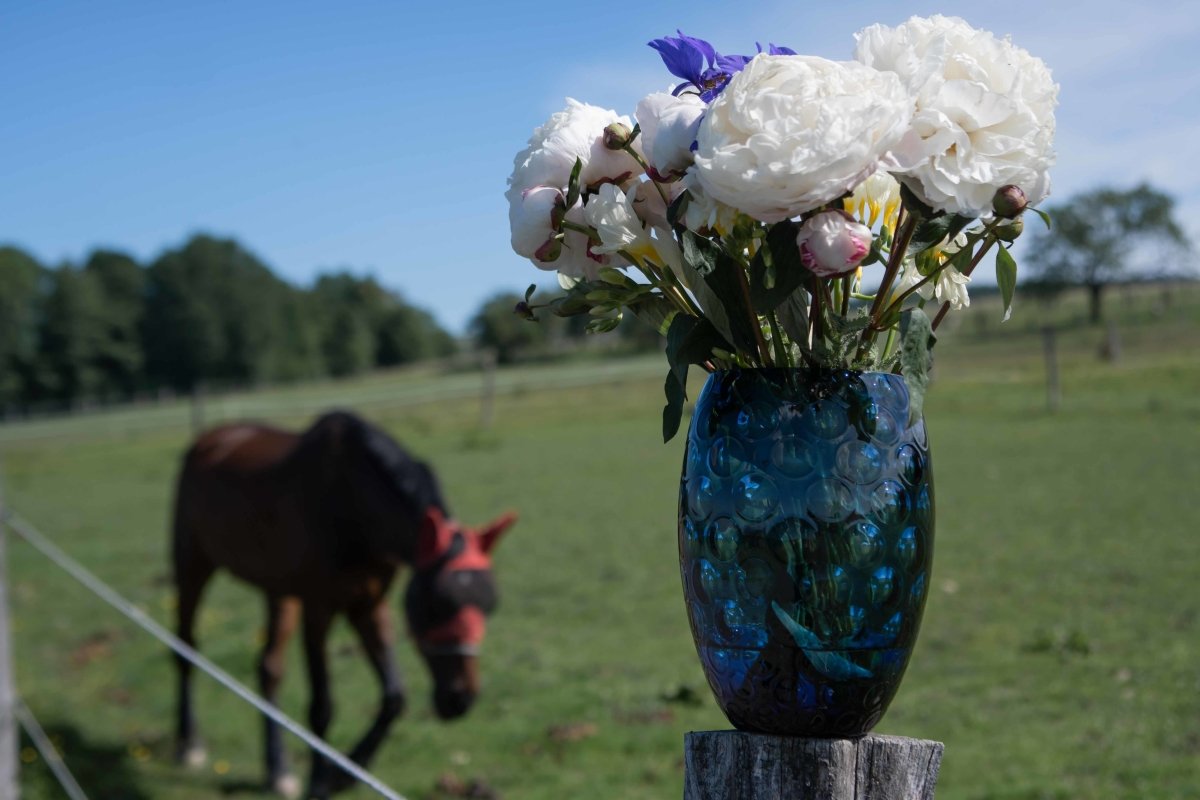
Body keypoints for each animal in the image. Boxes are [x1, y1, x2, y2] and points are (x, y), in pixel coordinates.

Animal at [166, 410, 513, 796]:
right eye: (434, 603)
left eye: (489, 605)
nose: (459, 699)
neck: (352, 505)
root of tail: (209, 439)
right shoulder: (319, 608)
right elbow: (322, 706)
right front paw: (320, 780)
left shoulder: (369, 605)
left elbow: (394, 696)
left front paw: (345, 772)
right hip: (192, 565)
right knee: (185, 646)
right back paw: (189, 744)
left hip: (278, 591)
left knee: (269, 668)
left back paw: (277, 768)